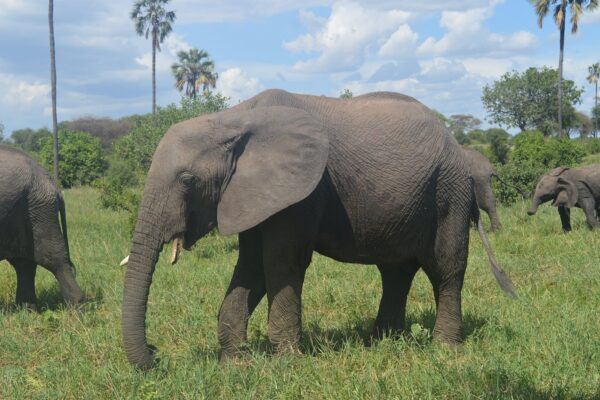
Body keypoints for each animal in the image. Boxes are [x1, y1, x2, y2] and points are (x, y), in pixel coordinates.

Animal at [0, 145, 85, 310]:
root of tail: (52, 183)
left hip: (41, 209)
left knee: (54, 260)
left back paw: (77, 309)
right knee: (23, 264)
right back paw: (26, 310)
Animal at [120, 90, 516, 368]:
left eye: (187, 180)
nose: (157, 355)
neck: (233, 120)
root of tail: (453, 140)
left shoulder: (302, 193)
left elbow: (282, 263)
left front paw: (286, 365)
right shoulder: (251, 193)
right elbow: (251, 267)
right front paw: (233, 364)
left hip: (449, 189)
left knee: (446, 268)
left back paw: (444, 348)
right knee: (395, 271)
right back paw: (382, 342)